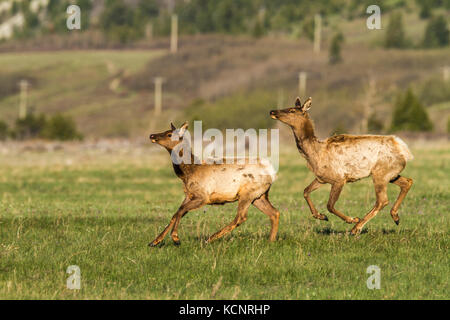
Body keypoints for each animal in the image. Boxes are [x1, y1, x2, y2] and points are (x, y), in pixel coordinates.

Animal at [149, 122, 280, 245]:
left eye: (169, 134)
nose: (152, 135)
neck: (187, 172)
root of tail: (271, 172)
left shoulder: (203, 196)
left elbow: (181, 210)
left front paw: (175, 237)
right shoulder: (189, 195)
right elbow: (175, 214)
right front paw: (155, 241)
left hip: (248, 193)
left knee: (240, 217)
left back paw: (209, 239)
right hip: (259, 195)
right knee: (274, 212)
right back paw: (271, 240)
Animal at [268, 96, 414, 234]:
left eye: (292, 110)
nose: (272, 111)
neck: (315, 154)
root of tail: (404, 149)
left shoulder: (339, 178)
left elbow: (330, 205)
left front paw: (352, 219)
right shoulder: (322, 178)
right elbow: (305, 191)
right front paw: (320, 216)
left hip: (381, 173)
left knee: (382, 200)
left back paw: (357, 227)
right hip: (390, 173)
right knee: (407, 182)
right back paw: (395, 216)